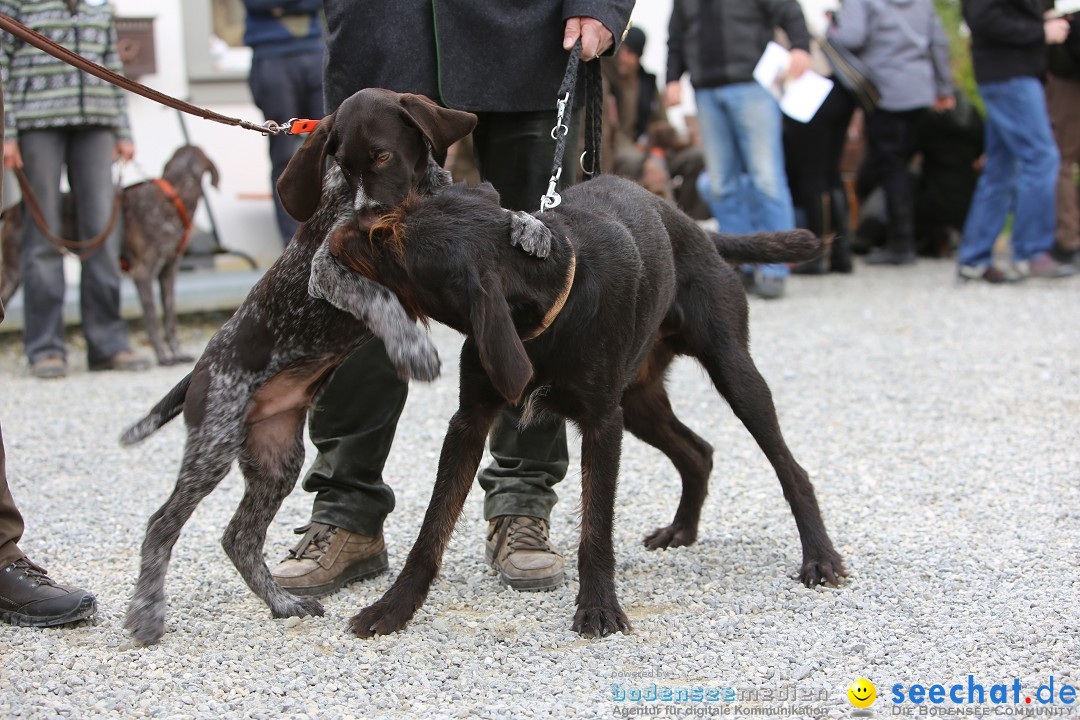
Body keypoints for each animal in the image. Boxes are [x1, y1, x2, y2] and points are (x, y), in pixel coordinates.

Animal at [328, 177, 842, 639]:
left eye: (389, 243)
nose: (334, 228)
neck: (549, 300)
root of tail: (697, 229)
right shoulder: (469, 421)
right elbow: (432, 527)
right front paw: (394, 606)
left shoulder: (602, 424)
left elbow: (596, 528)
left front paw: (598, 606)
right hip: (639, 401)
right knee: (698, 452)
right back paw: (682, 528)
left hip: (733, 373)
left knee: (791, 469)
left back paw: (819, 556)